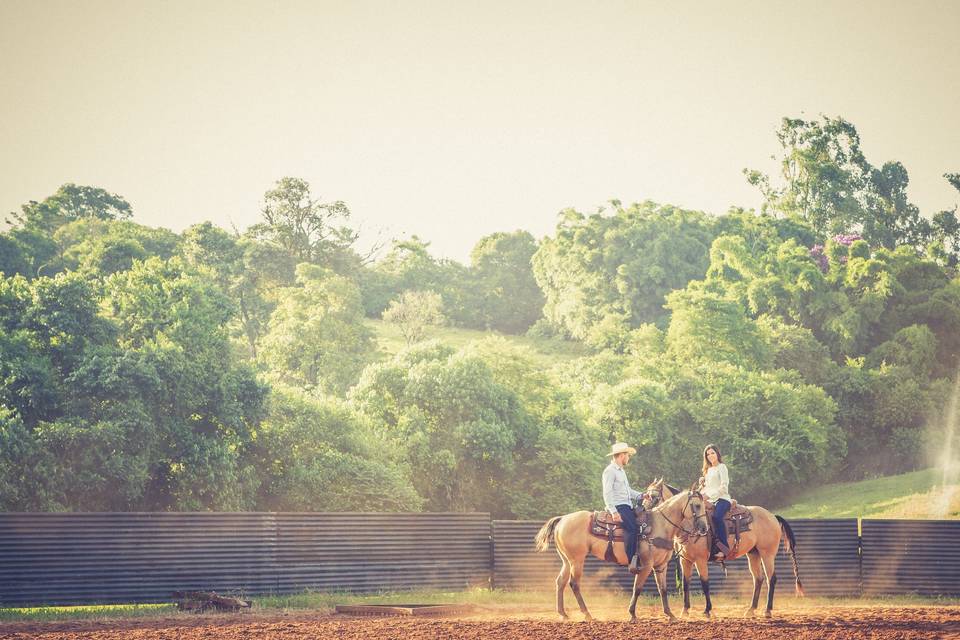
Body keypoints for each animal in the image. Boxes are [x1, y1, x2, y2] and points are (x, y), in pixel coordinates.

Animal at [528, 488, 708, 616]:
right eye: (697, 505)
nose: (704, 528)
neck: (659, 525)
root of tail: (563, 519)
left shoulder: (660, 566)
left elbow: (662, 589)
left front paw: (670, 615)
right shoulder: (646, 565)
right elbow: (637, 588)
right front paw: (632, 614)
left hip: (567, 560)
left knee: (561, 582)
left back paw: (563, 614)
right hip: (577, 560)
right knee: (574, 584)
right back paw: (587, 614)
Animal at [636, 480, 804, 620]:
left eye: (654, 497)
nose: (643, 514)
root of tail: (772, 516)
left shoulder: (700, 560)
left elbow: (704, 582)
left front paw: (707, 611)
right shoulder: (686, 560)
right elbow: (685, 584)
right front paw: (685, 611)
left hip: (767, 554)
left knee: (771, 579)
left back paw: (767, 611)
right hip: (753, 554)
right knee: (758, 579)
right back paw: (751, 609)